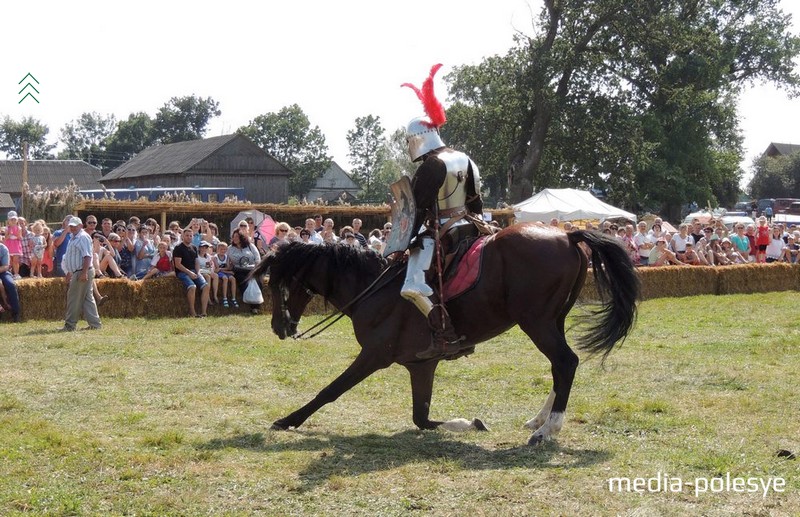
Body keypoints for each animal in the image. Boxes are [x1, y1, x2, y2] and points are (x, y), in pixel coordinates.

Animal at [253, 224, 640, 446]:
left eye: (276, 284)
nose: (278, 327)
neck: (372, 289)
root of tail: (567, 233)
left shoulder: (374, 356)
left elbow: (329, 392)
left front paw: (288, 421)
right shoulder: (421, 365)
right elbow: (421, 419)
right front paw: (471, 423)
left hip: (537, 322)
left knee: (565, 363)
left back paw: (547, 430)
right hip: (553, 320)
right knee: (560, 368)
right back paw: (540, 419)